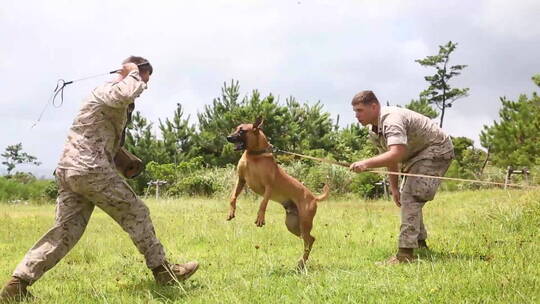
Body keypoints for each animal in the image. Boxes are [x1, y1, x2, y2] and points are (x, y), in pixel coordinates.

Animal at [225, 116, 330, 268]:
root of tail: (313, 198)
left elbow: (263, 204)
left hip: (305, 221)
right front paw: (231, 211)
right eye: (236, 129)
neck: (254, 155)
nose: (228, 137)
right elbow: (233, 197)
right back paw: (301, 262)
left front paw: (260, 218)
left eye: (242, 131)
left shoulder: (268, 187)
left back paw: (301, 262)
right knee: (310, 239)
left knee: (309, 240)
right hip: (292, 225)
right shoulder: (241, 180)